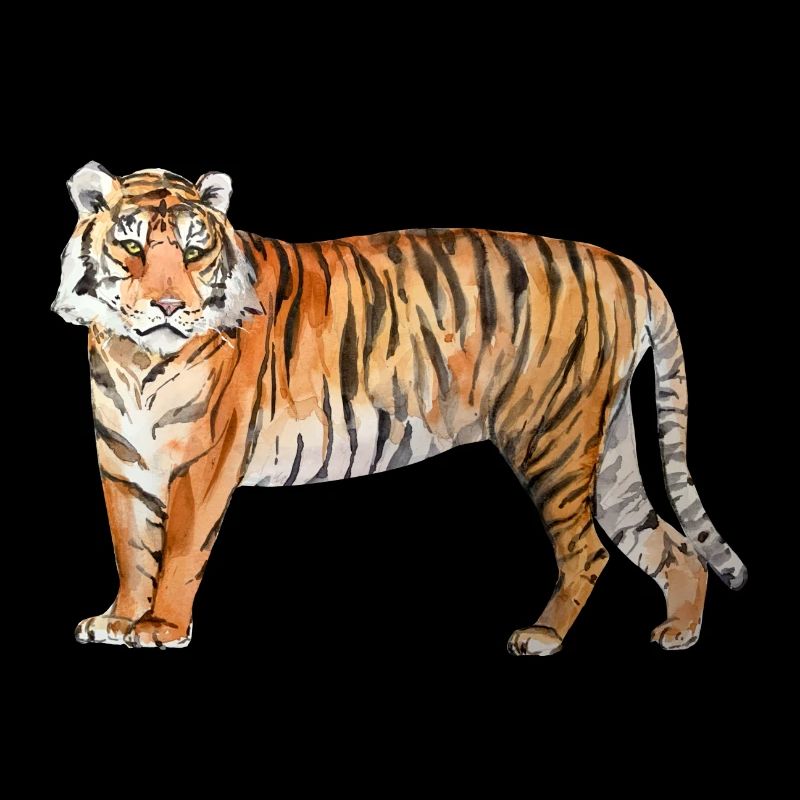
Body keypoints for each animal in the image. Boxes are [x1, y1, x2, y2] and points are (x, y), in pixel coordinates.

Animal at [53, 161, 746, 654]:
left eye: (195, 250)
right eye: (132, 247)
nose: (170, 307)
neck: (134, 356)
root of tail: (624, 264)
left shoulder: (205, 462)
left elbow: (179, 550)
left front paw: (159, 628)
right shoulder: (122, 461)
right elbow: (131, 546)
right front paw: (118, 619)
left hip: (554, 437)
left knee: (588, 550)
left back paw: (542, 636)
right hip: (607, 451)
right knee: (669, 544)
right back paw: (680, 634)